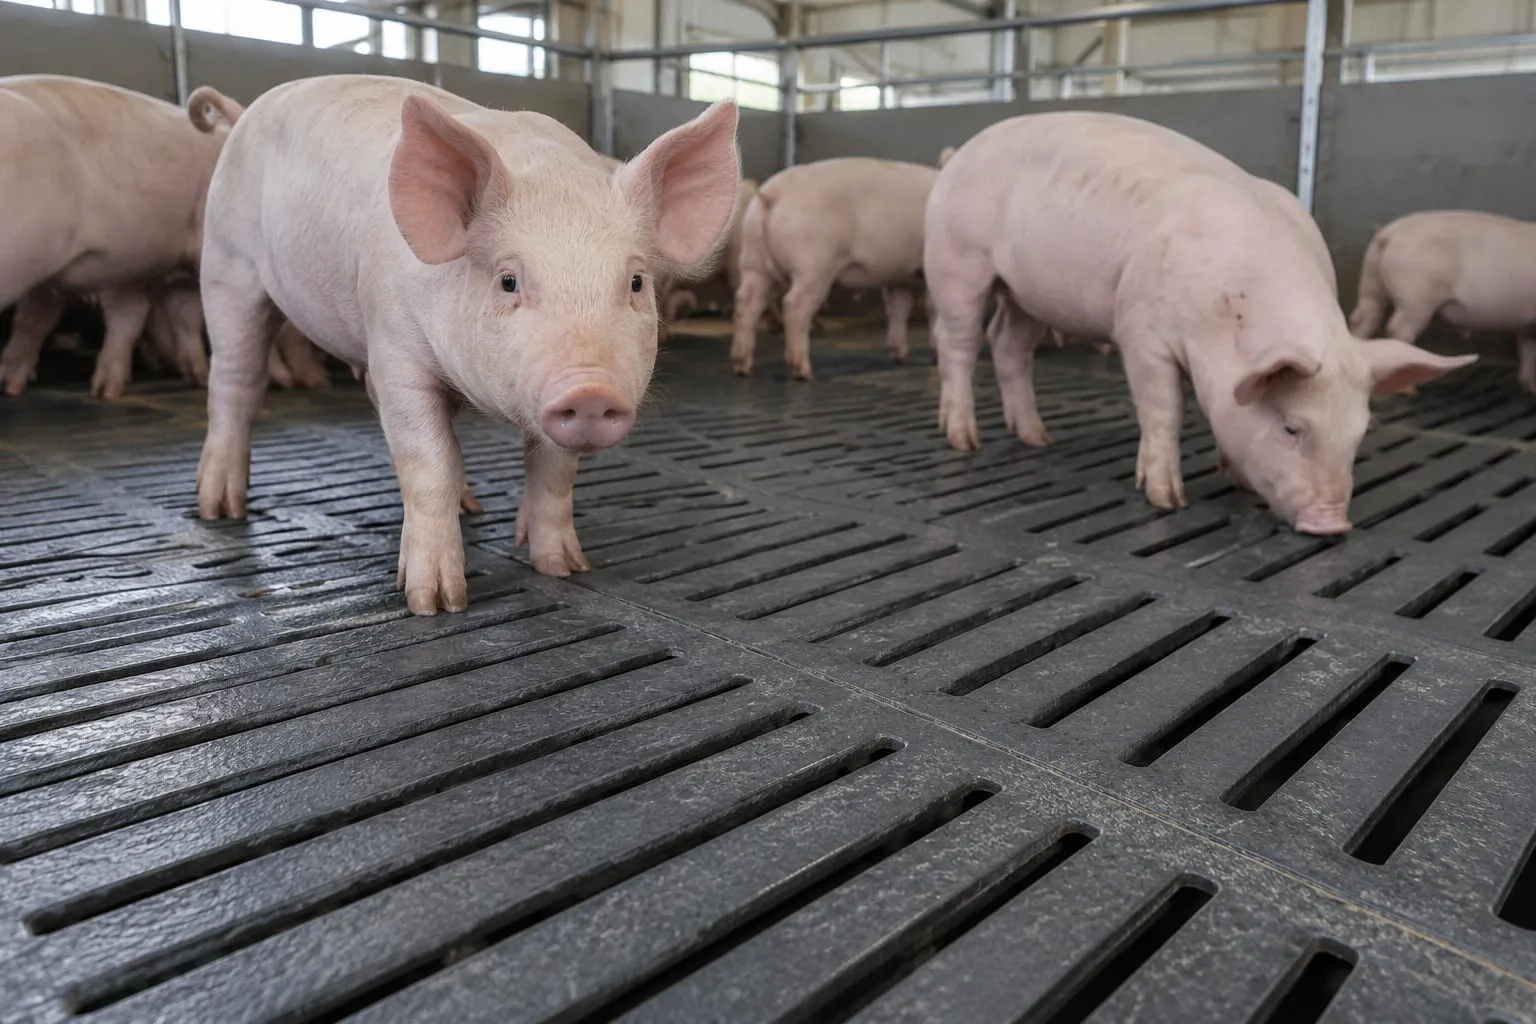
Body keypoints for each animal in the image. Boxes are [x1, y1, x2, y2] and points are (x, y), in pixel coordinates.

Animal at [193, 75, 740, 614]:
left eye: (636, 282)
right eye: (508, 280)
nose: (590, 391)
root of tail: (241, 113)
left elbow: (553, 471)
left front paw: (565, 568)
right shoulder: (396, 350)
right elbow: (430, 462)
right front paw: (435, 603)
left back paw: (469, 505)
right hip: (226, 259)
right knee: (235, 380)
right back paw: (218, 508)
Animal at [732, 157, 937, 379]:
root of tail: (772, 194)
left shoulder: (898, 276)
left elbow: (899, 309)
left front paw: (901, 357)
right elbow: (931, 309)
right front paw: (935, 358)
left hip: (753, 260)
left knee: (747, 301)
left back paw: (743, 368)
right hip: (813, 265)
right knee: (795, 305)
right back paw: (804, 372)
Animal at [925, 112, 1475, 534]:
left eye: (1360, 432)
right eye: (1292, 426)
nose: (1332, 525)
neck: (1231, 305)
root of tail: (958, 155)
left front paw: (1233, 478)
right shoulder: (1142, 331)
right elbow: (1164, 409)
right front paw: (1167, 499)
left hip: (1028, 295)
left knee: (1008, 344)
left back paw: (1038, 438)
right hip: (957, 263)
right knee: (957, 343)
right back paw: (963, 439)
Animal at [1350, 210, 1536, 392]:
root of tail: (1388, 234)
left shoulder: (1526, 326)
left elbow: (1527, 348)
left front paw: (1529, 387)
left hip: (1371, 283)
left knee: (1363, 320)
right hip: (1415, 296)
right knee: (1398, 328)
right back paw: (1410, 390)